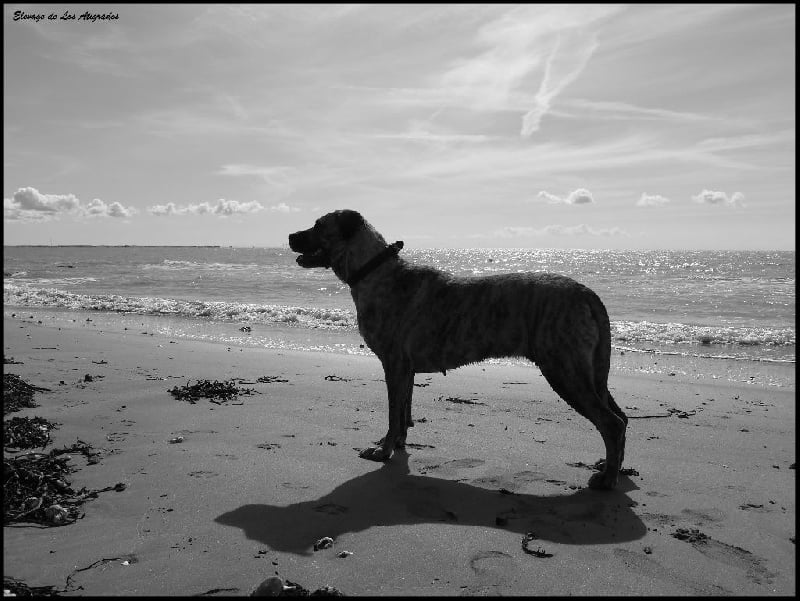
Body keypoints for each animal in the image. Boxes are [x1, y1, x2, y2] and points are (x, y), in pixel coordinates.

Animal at [289, 210, 627, 489]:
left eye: (319, 225)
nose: (290, 236)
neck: (373, 269)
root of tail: (586, 293)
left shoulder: (394, 363)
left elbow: (393, 412)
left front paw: (383, 450)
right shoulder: (406, 369)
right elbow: (403, 410)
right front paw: (397, 443)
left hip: (565, 369)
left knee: (611, 422)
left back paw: (607, 478)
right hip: (588, 372)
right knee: (619, 417)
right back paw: (611, 467)